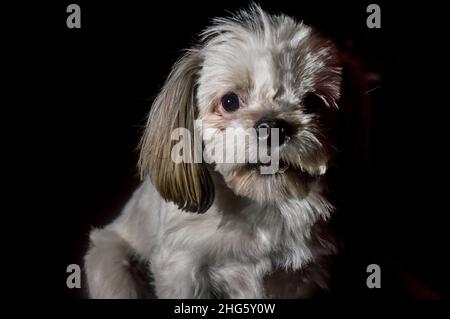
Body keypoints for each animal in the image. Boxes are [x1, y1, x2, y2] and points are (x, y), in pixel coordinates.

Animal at [84, 5, 342, 300]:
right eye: (229, 101)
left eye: (313, 103)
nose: (273, 126)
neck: (261, 203)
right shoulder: (181, 271)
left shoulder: (300, 278)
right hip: (111, 264)